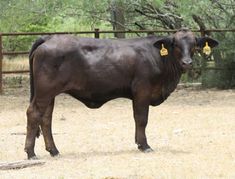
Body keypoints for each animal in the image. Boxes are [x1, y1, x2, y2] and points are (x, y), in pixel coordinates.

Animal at [24, 28, 218, 159]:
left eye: (194, 44)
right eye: (175, 44)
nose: (187, 62)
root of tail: (49, 37)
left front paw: (139, 143)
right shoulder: (142, 91)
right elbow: (141, 119)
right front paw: (144, 145)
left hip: (49, 94)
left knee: (46, 118)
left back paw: (54, 151)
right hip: (45, 91)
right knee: (34, 114)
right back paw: (31, 153)